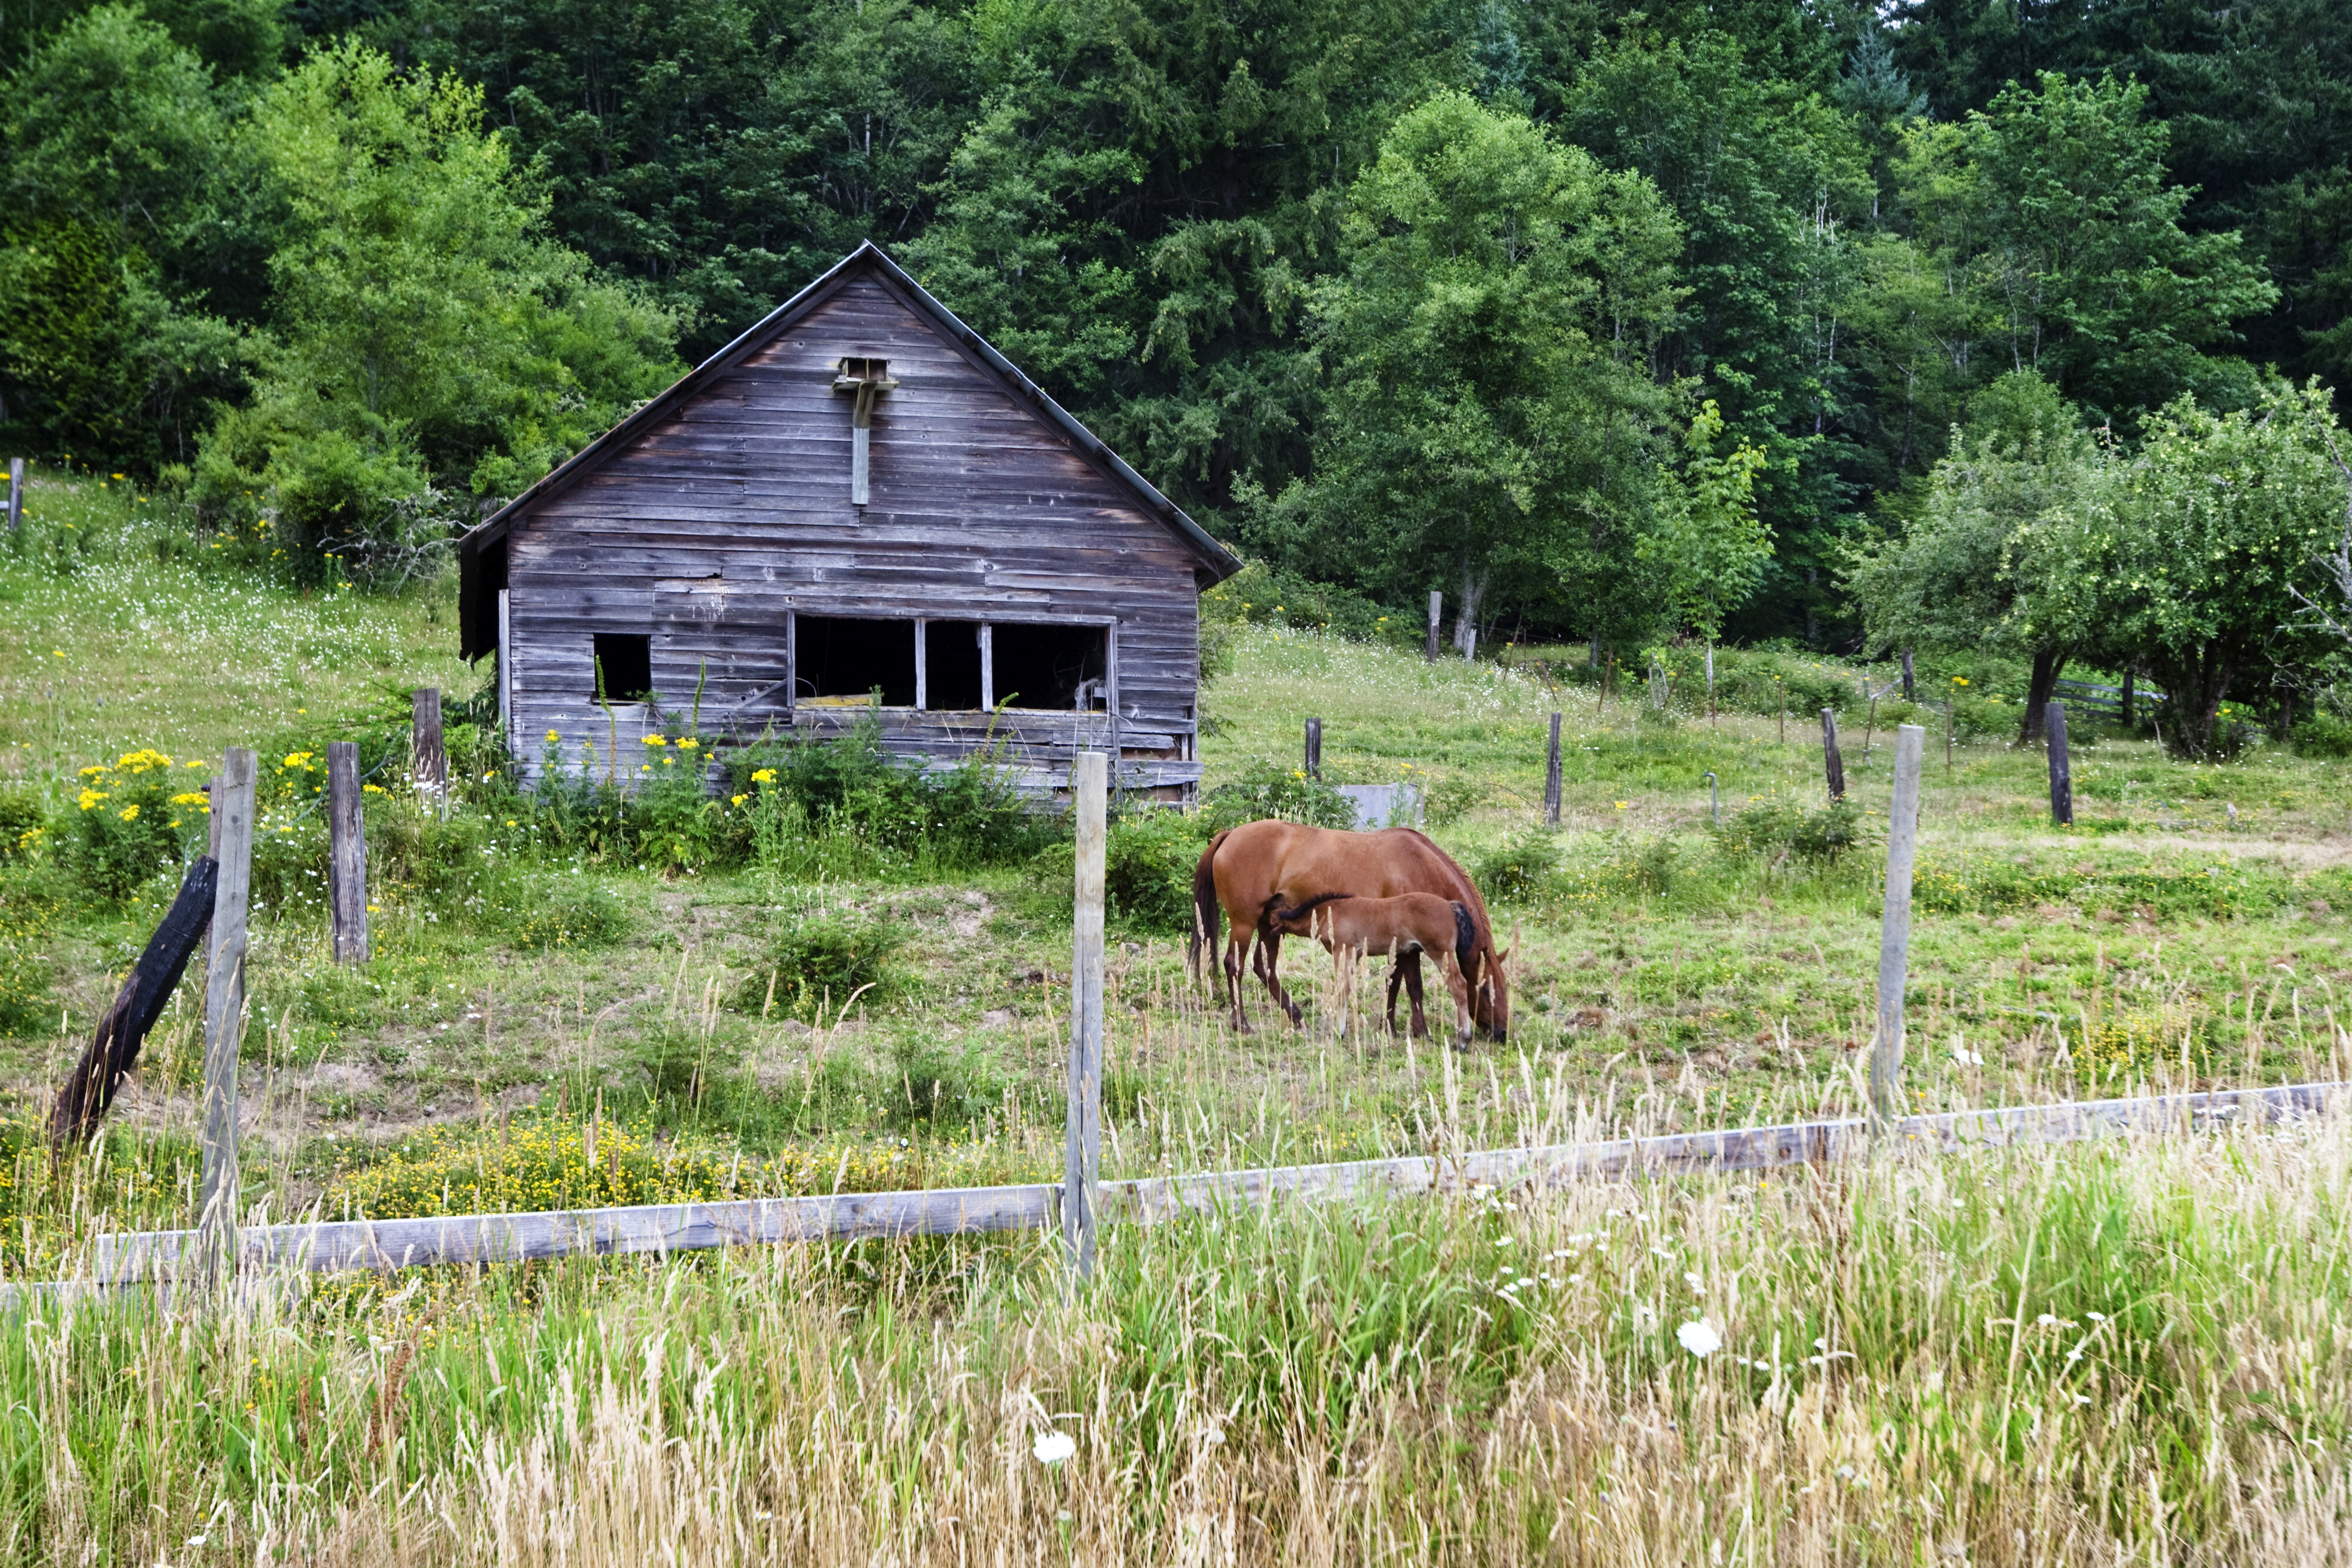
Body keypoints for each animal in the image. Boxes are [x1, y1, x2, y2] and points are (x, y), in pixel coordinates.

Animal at [1267, 891, 1478, 1046]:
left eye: (1269, 919)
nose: (1267, 934)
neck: (1329, 913)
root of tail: (1450, 905)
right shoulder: (1355, 955)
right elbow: (1349, 988)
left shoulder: (1343, 950)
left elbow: (1342, 989)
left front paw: (1338, 1032)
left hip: (1440, 952)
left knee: (1459, 985)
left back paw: (1463, 1040)